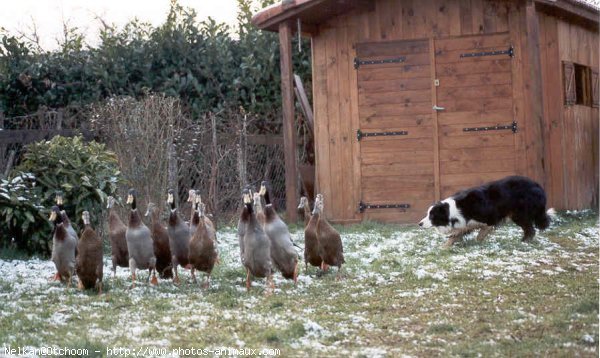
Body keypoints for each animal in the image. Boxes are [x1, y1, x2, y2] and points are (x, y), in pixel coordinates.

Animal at [420, 176, 556, 248]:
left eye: (432, 215)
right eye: (427, 214)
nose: (419, 224)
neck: (453, 210)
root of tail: (538, 185)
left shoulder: (489, 218)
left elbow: (481, 233)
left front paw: (478, 243)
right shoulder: (466, 224)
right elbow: (456, 234)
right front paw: (444, 247)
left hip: (520, 214)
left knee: (530, 229)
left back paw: (523, 242)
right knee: (529, 229)